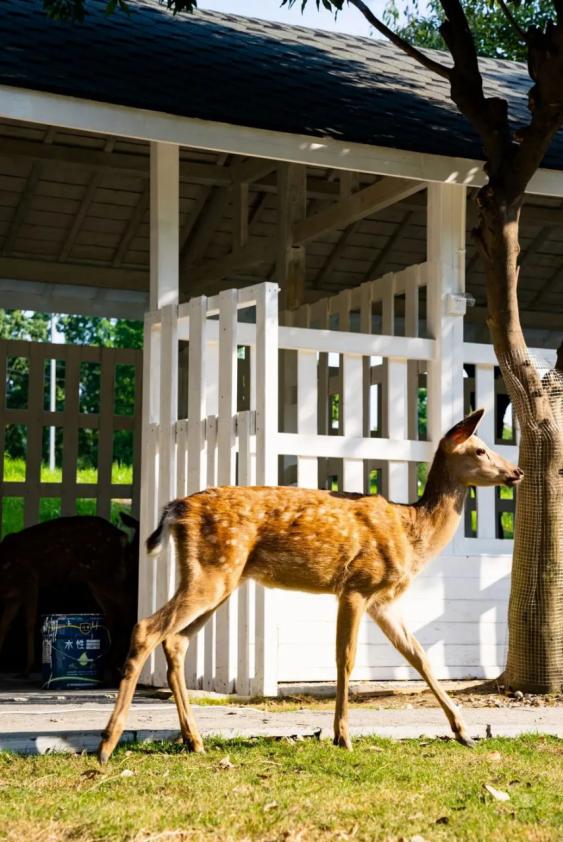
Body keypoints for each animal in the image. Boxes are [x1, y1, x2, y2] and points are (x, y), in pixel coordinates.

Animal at [98, 406, 524, 760]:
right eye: (480, 450)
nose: (516, 472)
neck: (412, 532)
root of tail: (175, 509)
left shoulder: (384, 600)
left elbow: (419, 656)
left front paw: (464, 732)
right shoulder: (356, 585)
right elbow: (346, 659)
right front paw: (342, 736)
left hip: (217, 576)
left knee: (175, 640)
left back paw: (194, 740)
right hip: (213, 571)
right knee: (146, 628)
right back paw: (107, 744)